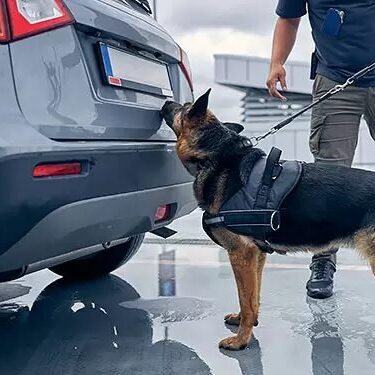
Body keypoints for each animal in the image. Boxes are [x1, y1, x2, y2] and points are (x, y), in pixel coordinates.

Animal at [162, 89, 375, 352]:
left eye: (184, 106)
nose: (165, 101)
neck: (217, 155)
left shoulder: (240, 254)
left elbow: (245, 298)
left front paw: (241, 340)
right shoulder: (257, 255)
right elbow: (252, 297)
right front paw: (244, 322)